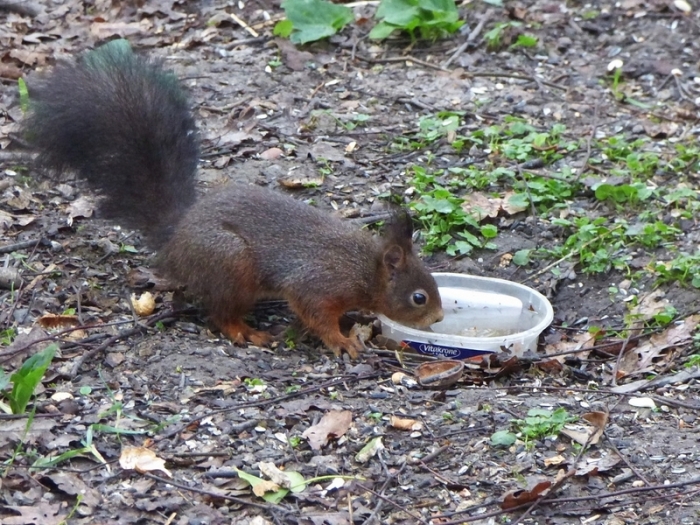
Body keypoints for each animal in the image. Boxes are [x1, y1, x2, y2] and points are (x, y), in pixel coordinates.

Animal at [22, 40, 444, 359]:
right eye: (419, 297)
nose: (439, 319)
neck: (365, 270)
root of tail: (176, 239)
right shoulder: (318, 284)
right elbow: (315, 313)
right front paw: (341, 341)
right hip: (229, 262)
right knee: (220, 314)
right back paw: (246, 332)